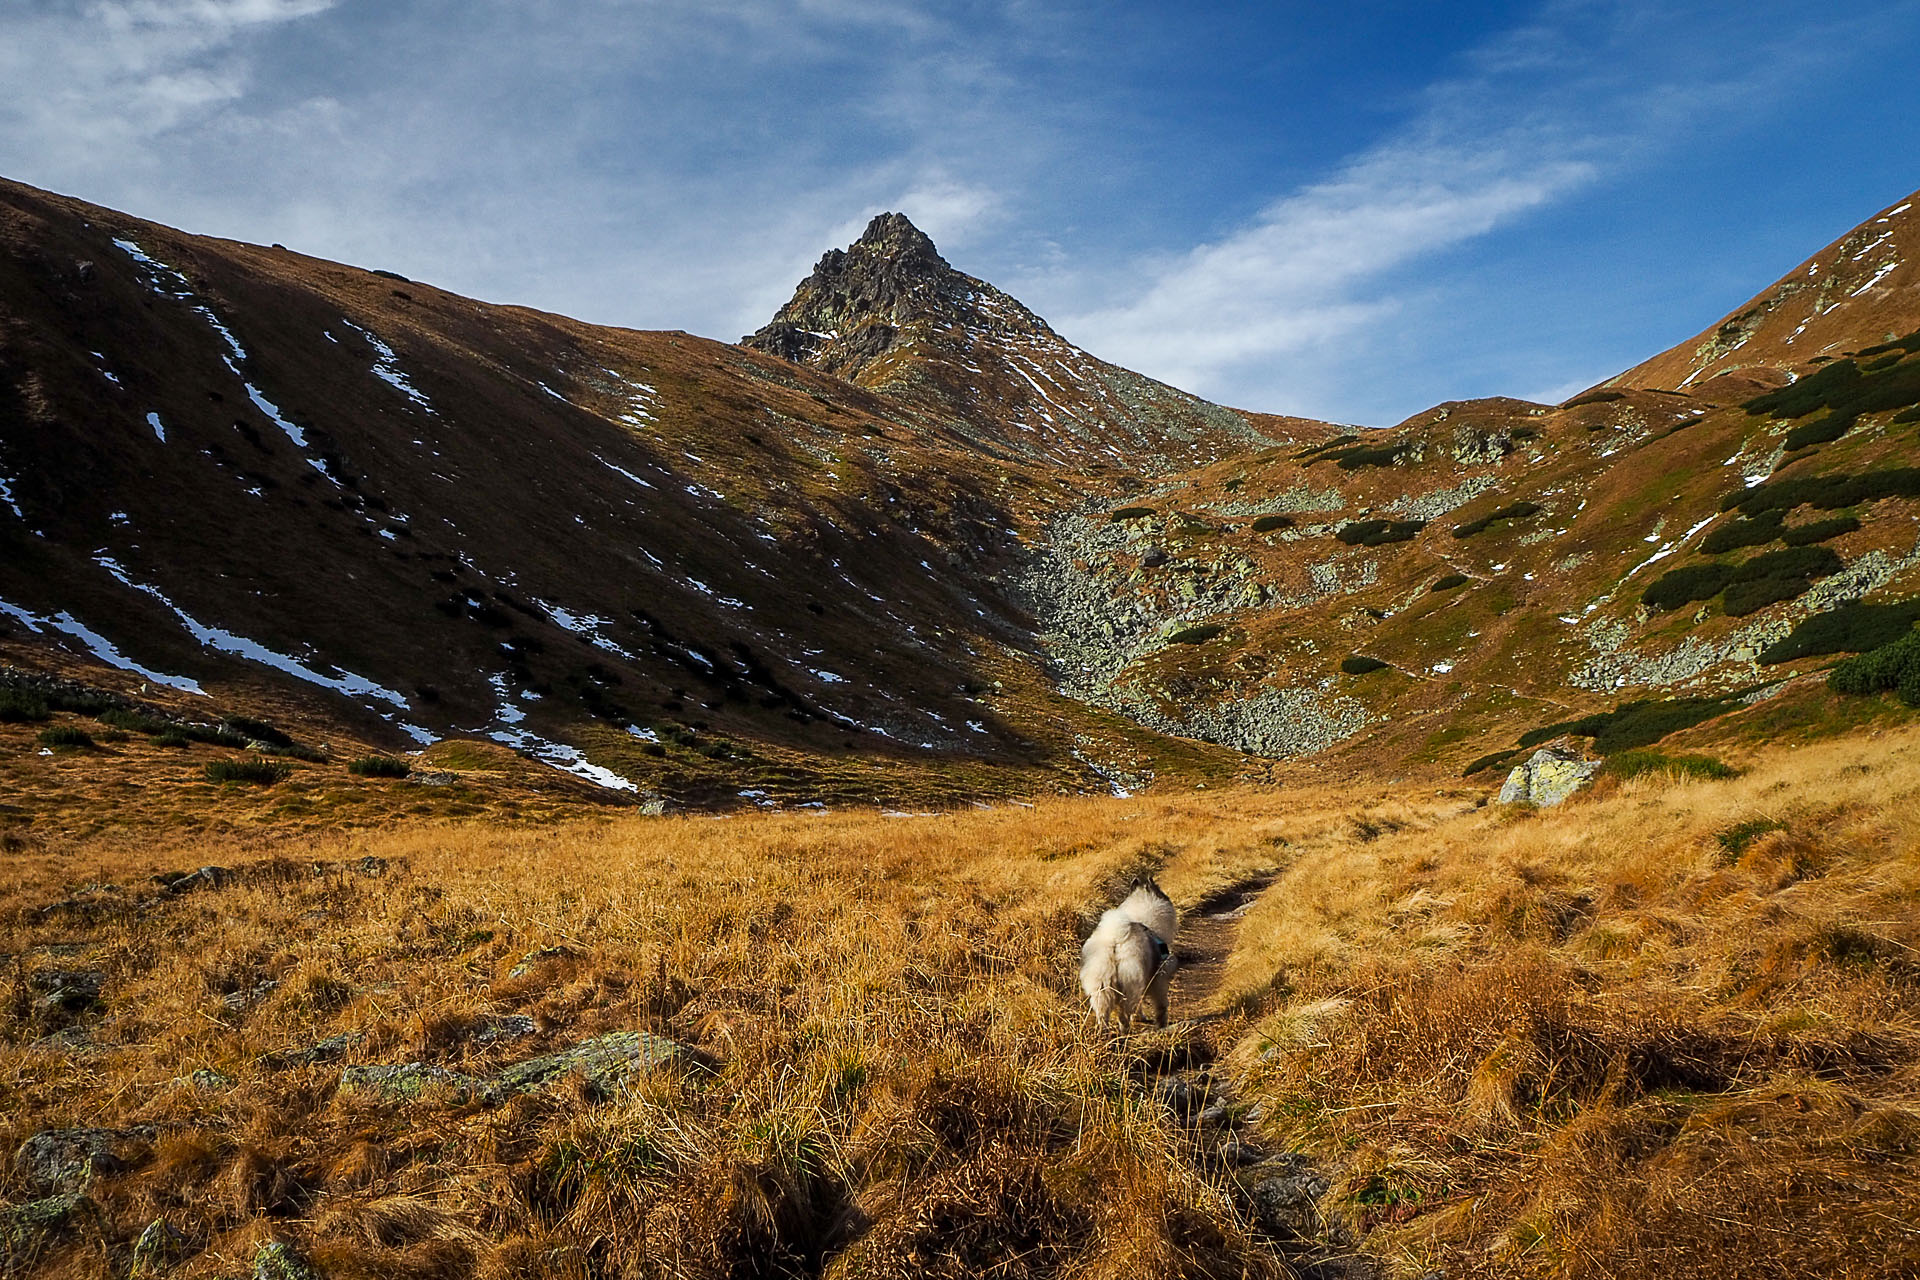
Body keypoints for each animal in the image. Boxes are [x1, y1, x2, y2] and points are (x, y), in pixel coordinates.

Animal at [1075, 882, 1175, 1028]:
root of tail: (1115, 941)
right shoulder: (1158, 980)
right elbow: (1161, 1006)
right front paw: (1161, 1024)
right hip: (1129, 989)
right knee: (1124, 1016)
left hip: (1102, 990)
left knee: (1104, 1017)